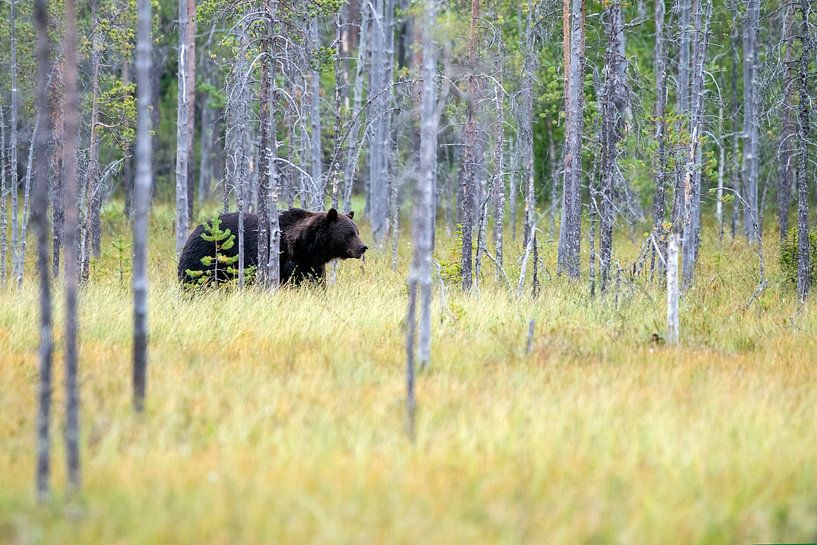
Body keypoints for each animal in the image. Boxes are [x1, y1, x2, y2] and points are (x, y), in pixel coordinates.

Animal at [177, 207, 368, 286]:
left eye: (357, 231)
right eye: (349, 234)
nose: (363, 247)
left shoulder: (311, 265)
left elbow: (315, 282)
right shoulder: (283, 261)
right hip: (204, 260)